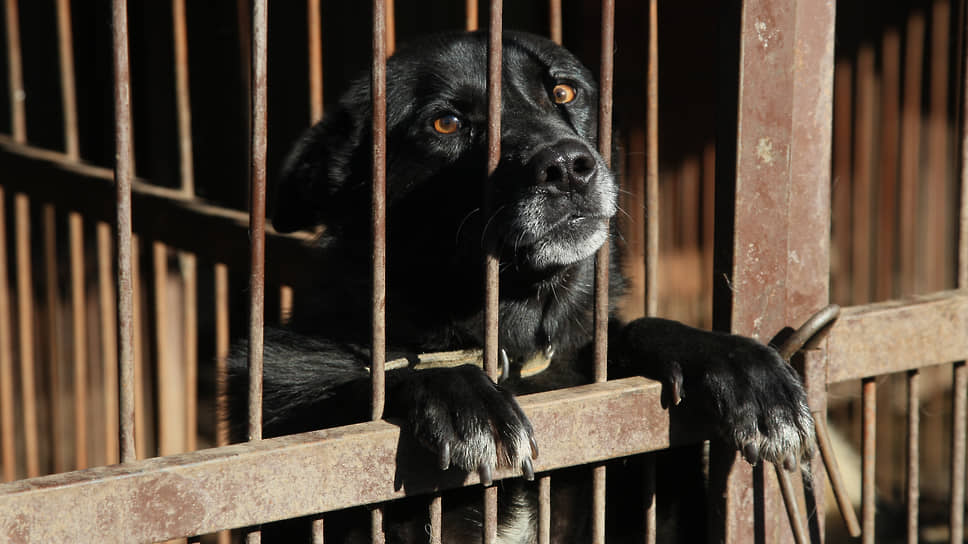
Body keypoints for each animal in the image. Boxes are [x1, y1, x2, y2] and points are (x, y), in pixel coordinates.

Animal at [231, 30, 812, 544]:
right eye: (446, 123)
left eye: (564, 92)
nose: (569, 168)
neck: (512, 341)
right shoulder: (278, 384)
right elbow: (364, 383)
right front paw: (464, 396)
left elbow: (634, 329)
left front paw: (741, 366)